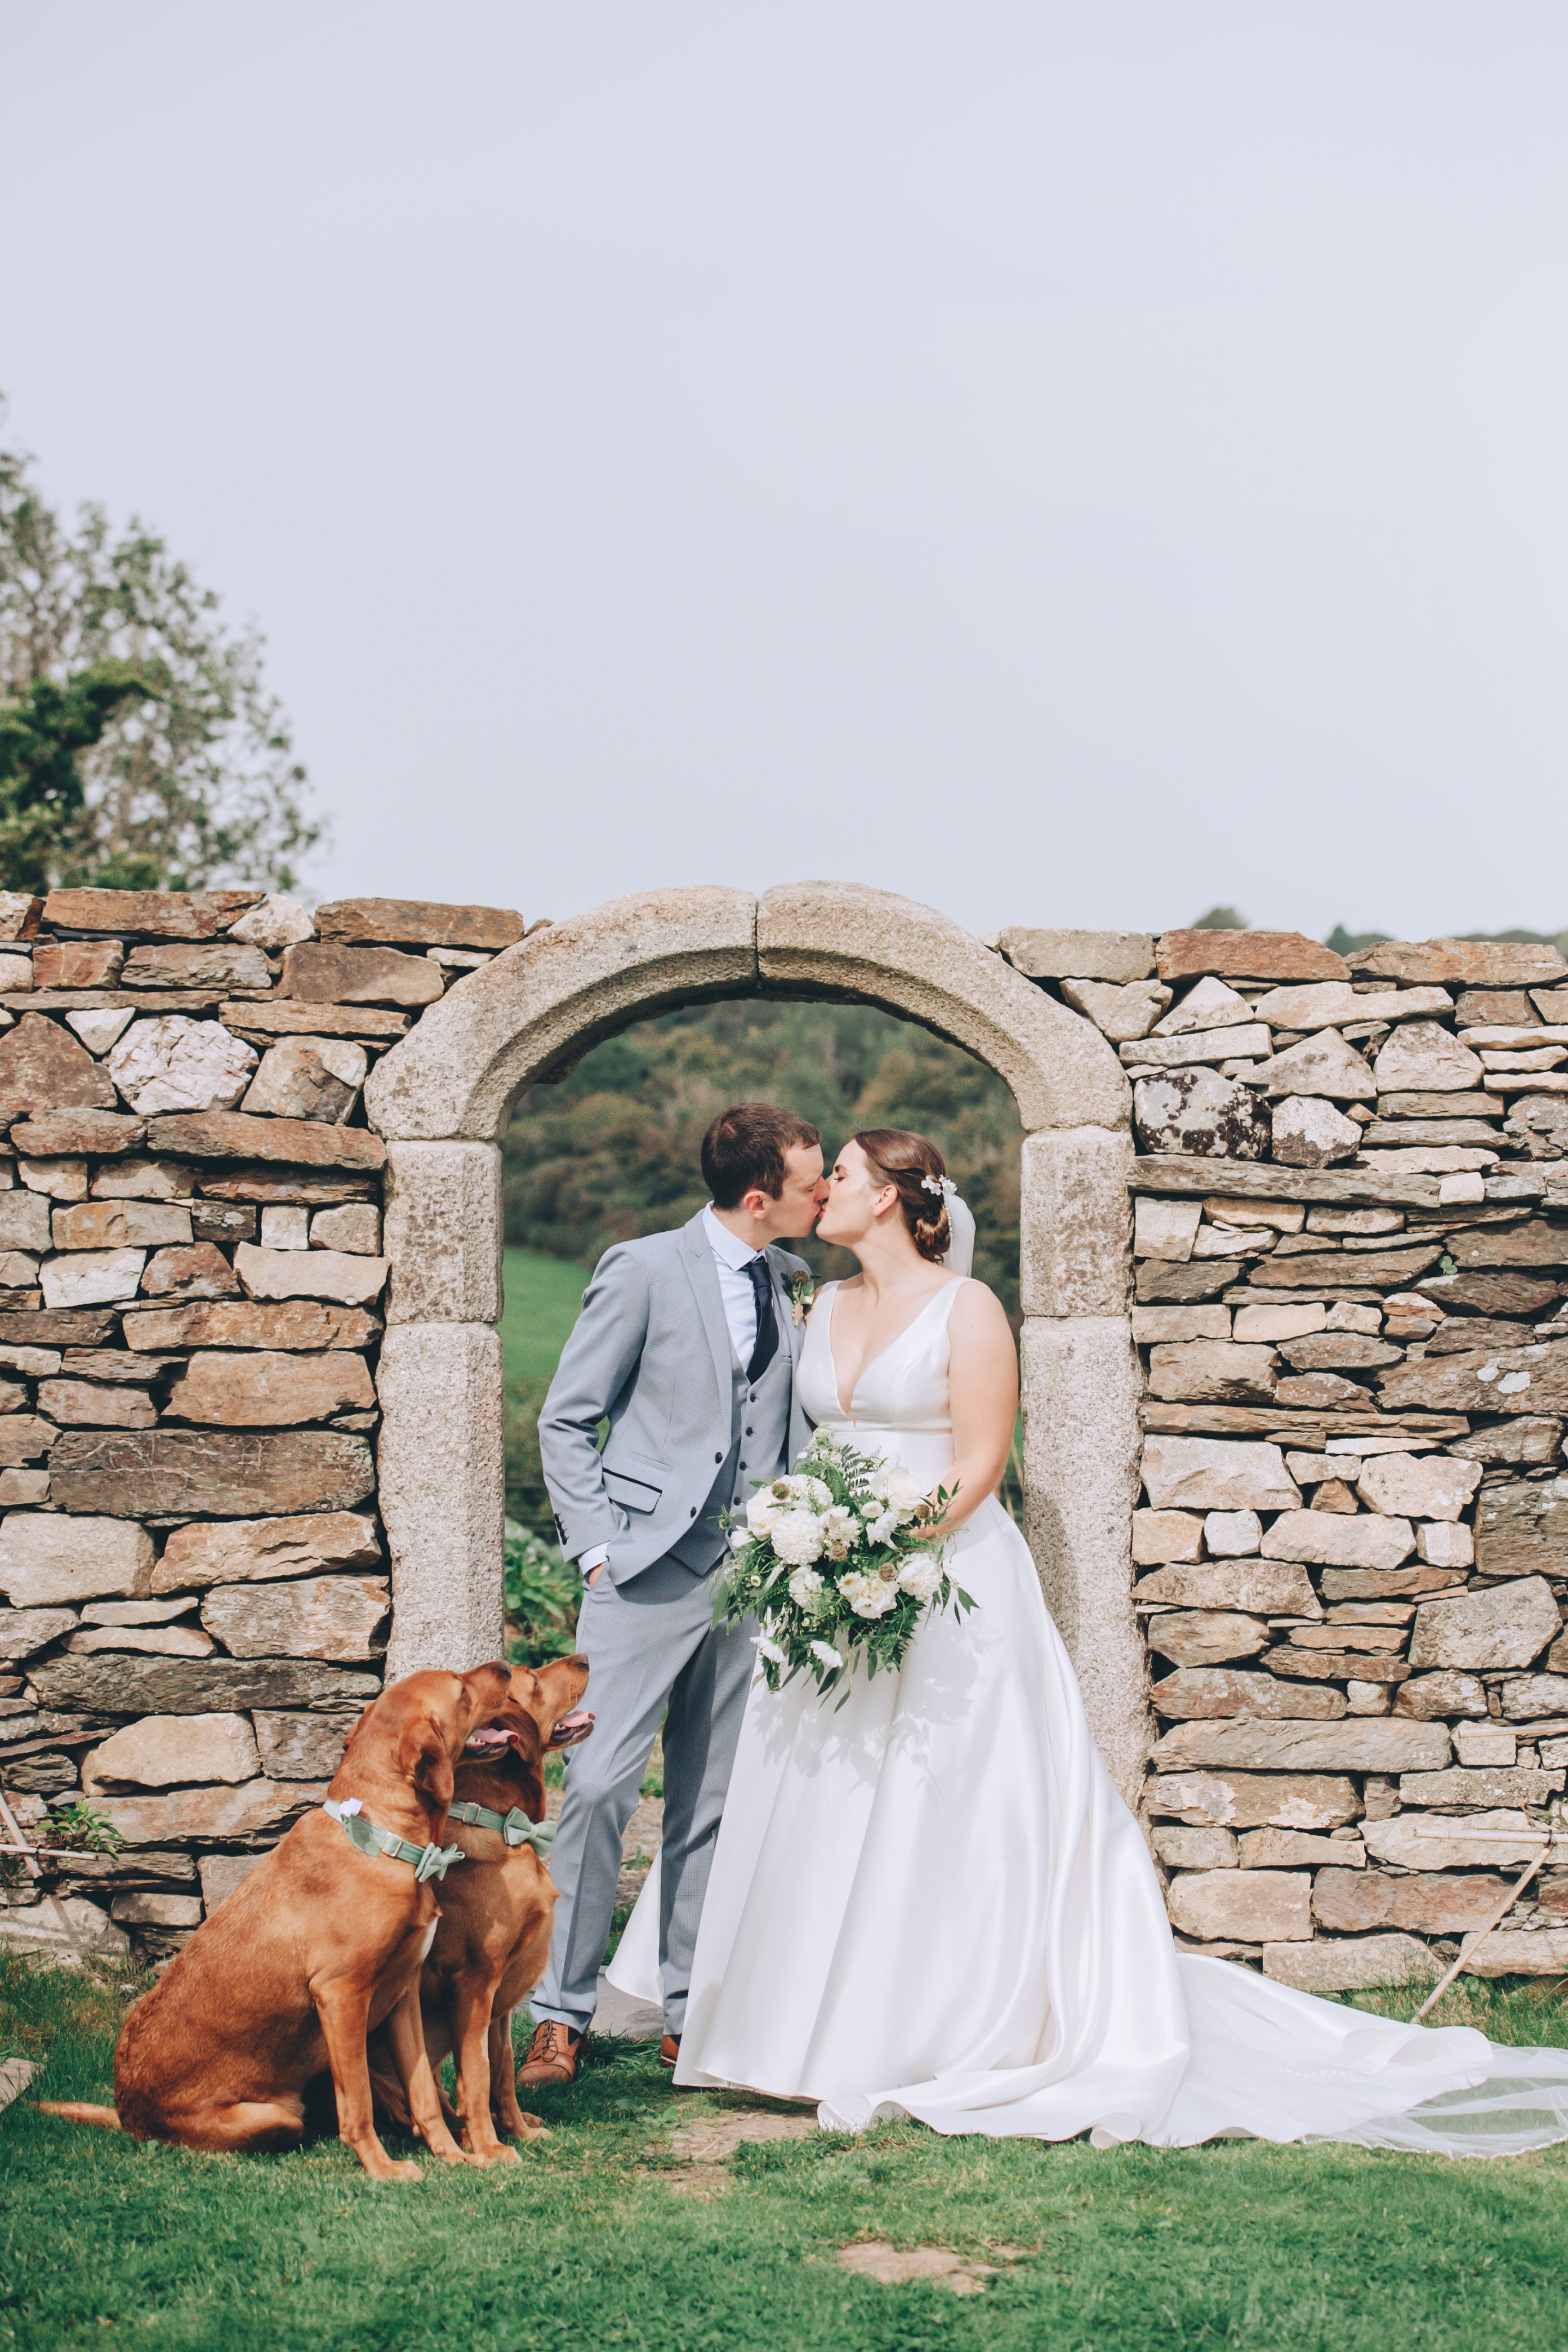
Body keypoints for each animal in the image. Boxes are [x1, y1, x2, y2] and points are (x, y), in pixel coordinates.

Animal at [37, 1655, 524, 2182]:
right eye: (461, 1689)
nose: (506, 1666)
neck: (384, 1837)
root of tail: (128, 2116)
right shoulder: (341, 1994)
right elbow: (359, 2102)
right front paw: (382, 2169)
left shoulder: (402, 1994)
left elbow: (424, 2094)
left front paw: (456, 2156)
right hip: (273, 2116)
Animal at [369, 1646, 595, 2154]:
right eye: (534, 1680)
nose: (586, 1657)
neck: (503, 1825)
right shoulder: (474, 1981)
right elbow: (477, 2072)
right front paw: (491, 2146)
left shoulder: (501, 1999)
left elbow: (504, 2069)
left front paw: (519, 2131)